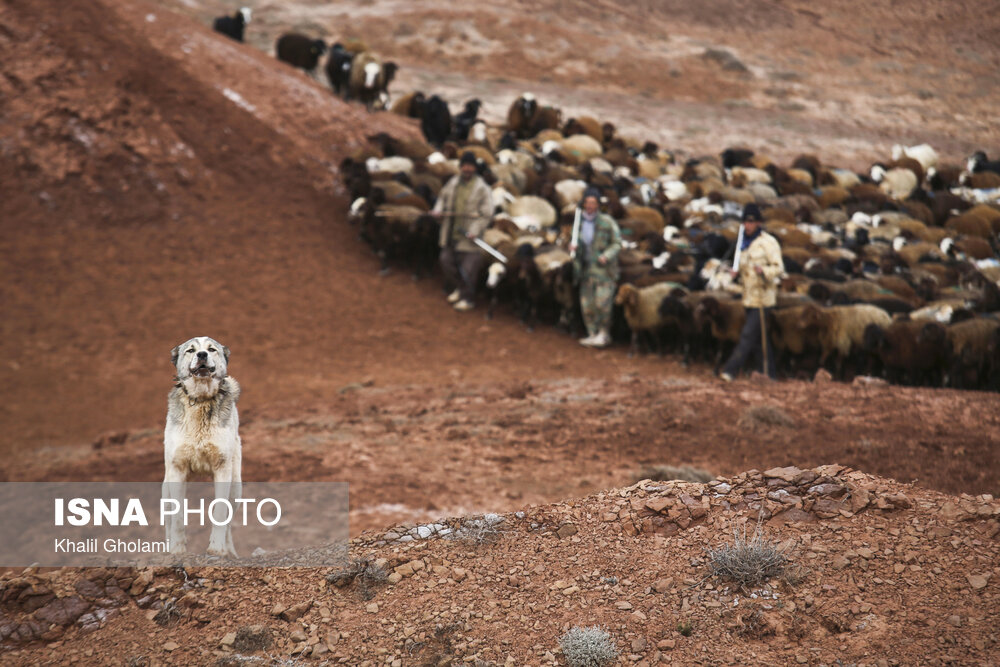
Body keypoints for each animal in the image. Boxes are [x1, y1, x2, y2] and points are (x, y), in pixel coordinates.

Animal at [164, 334, 244, 560]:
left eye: (211, 349)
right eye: (191, 350)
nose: (201, 355)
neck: (200, 402)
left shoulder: (222, 468)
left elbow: (220, 512)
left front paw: (217, 548)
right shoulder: (178, 469)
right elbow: (178, 517)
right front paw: (177, 550)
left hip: (236, 487)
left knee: (229, 523)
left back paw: (229, 551)